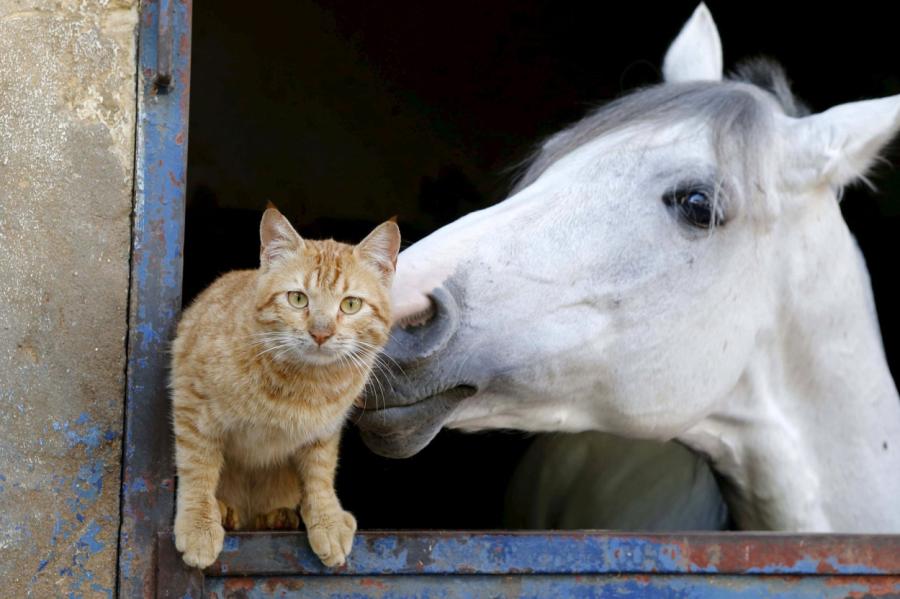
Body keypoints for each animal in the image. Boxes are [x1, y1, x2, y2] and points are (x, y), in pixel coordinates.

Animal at [172, 206, 400, 568]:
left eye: (350, 304)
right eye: (297, 299)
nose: (321, 332)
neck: (307, 381)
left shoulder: (325, 429)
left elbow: (320, 473)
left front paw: (327, 518)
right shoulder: (192, 402)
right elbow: (198, 465)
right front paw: (198, 522)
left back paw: (278, 516)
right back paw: (225, 511)